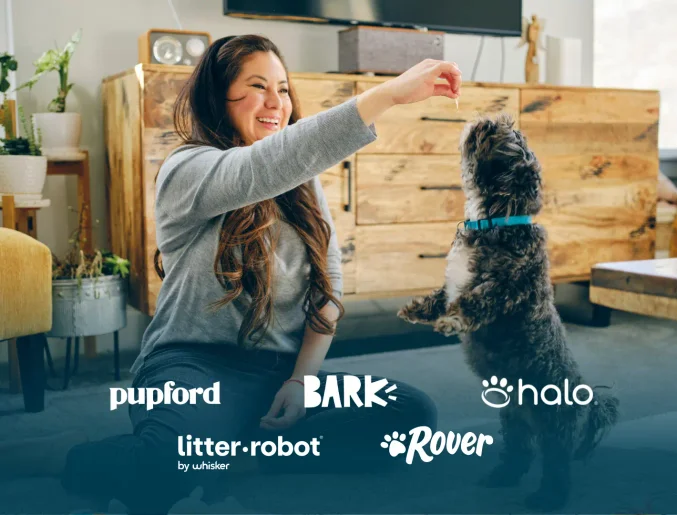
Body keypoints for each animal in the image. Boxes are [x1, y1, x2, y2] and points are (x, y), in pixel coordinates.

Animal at [398, 113, 620, 512]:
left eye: (510, 139)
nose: (492, 118)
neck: (494, 222)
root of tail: (587, 404)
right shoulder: (451, 283)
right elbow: (439, 296)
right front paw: (417, 309)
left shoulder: (507, 287)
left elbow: (472, 302)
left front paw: (450, 321)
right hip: (514, 419)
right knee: (520, 453)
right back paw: (501, 477)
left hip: (553, 424)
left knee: (557, 465)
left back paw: (548, 498)